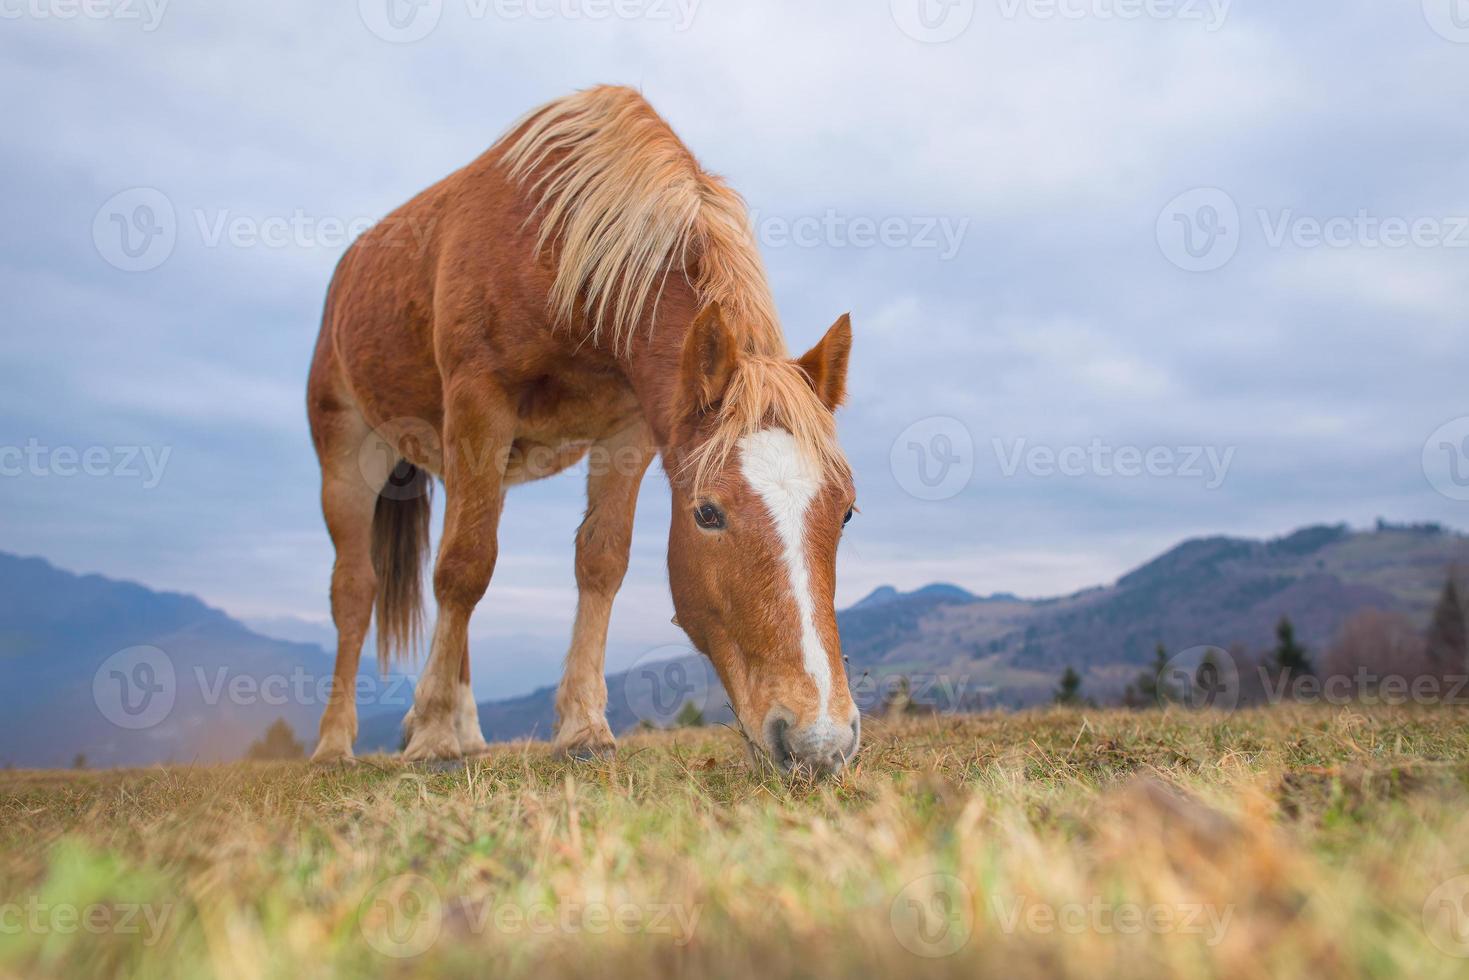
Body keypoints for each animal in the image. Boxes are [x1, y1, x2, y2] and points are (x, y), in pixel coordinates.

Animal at [307, 84, 857, 775]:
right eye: (707, 514)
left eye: (845, 512)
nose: (821, 742)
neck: (563, 250)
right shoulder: (478, 403)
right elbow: (464, 567)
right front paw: (429, 734)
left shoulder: (629, 431)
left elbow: (599, 561)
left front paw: (583, 727)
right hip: (350, 453)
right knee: (357, 591)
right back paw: (336, 743)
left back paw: (468, 731)